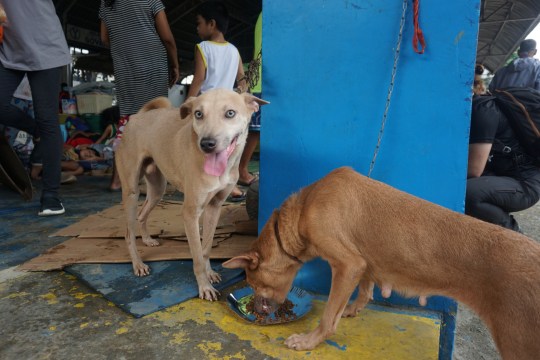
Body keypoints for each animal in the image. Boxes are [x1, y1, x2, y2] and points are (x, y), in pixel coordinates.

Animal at [116, 89, 268, 300]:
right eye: (198, 114)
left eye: (230, 113)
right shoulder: (190, 213)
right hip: (131, 191)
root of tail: (136, 117)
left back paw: (147, 239)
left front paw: (210, 273)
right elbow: (196, 255)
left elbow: (206, 248)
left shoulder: (215, 207)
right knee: (128, 232)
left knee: (142, 214)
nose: (207, 144)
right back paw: (138, 264)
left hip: (157, 189)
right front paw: (204, 287)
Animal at [224, 167, 540, 358]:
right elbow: (365, 289)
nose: (256, 310)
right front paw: (352, 308)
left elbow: (328, 318)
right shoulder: (363, 261)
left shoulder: (347, 264)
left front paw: (309, 341)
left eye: (254, 282)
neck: (305, 207)